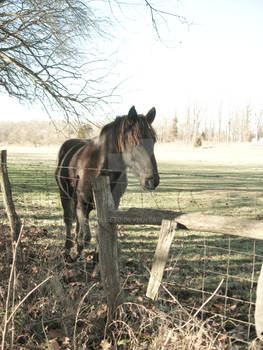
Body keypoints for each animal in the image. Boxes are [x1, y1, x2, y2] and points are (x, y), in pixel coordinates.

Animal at [55, 105, 160, 258]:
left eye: (153, 141)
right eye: (134, 142)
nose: (152, 180)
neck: (99, 166)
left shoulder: (110, 207)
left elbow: (99, 234)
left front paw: (96, 256)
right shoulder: (82, 203)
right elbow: (86, 237)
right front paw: (78, 251)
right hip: (65, 196)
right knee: (68, 219)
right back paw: (68, 249)